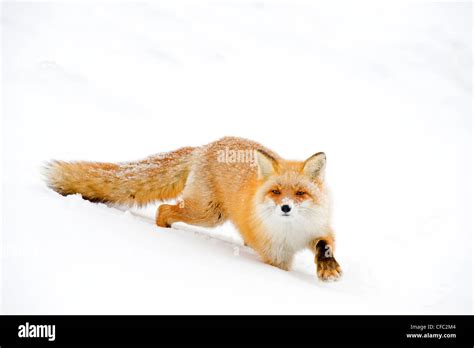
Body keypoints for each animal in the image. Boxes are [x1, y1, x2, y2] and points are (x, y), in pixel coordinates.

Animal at [44, 136, 340, 280]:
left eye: (300, 193)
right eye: (276, 192)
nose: (286, 208)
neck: (291, 232)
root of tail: (205, 146)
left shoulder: (319, 228)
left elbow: (324, 245)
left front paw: (327, 267)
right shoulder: (275, 257)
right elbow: (282, 271)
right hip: (207, 213)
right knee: (163, 209)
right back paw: (163, 229)